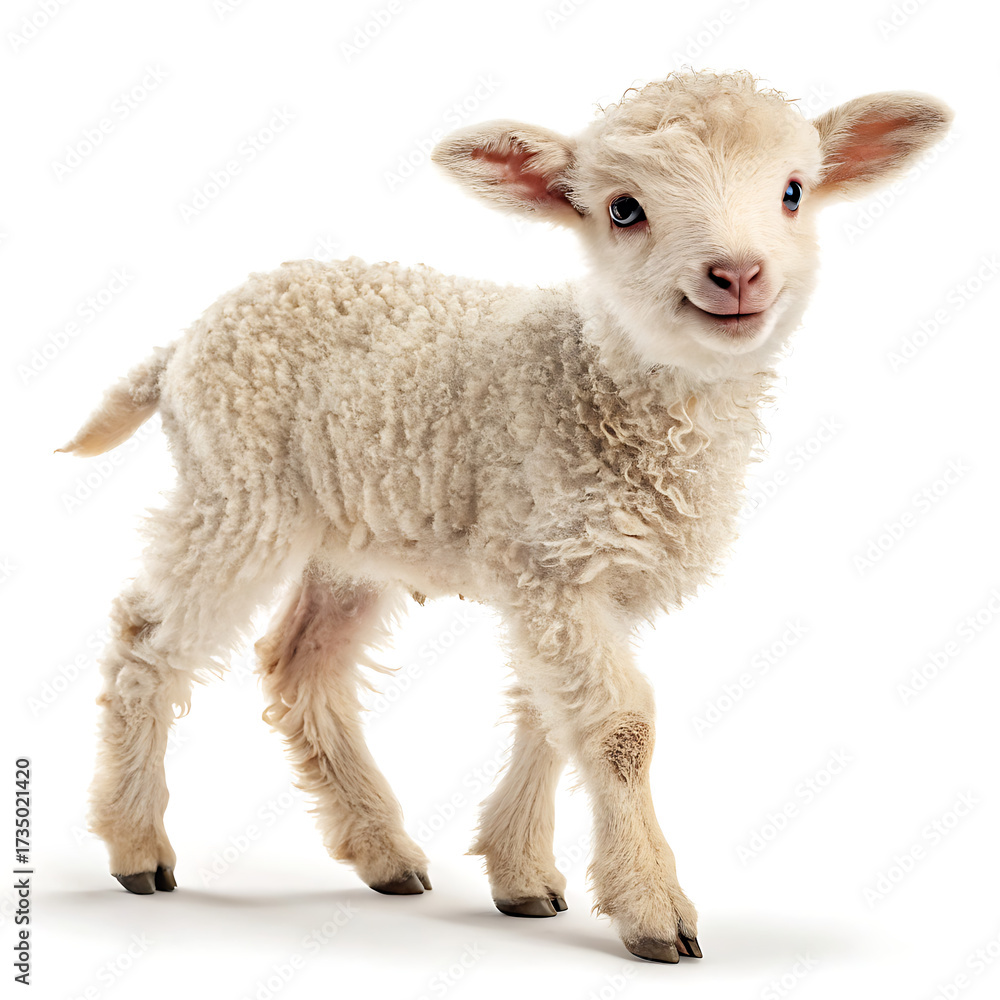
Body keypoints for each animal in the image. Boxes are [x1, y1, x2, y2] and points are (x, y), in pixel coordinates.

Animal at [59, 70, 952, 964]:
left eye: (794, 192)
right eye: (623, 209)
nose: (737, 273)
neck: (598, 377)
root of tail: (183, 343)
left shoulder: (574, 577)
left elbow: (551, 715)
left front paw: (521, 873)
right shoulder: (554, 563)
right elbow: (620, 727)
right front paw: (653, 908)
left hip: (352, 533)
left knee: (302, 663)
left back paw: (382, 851)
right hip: (238, 492)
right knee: (147, 642)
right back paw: (138, 846)